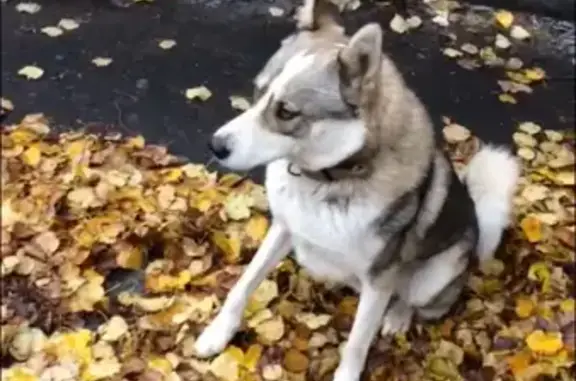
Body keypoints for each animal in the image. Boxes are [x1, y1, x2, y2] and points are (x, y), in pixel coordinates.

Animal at [196, 1, 520, 378]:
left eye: (287, 112)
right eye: (258, 91)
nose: (215, 145)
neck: (326, 179)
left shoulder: (379, 279)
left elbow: (357, 343)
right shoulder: (284, 229)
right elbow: (244, 283)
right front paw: (217, 333)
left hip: (435, 275)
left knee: (413, 302)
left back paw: (397, 317)